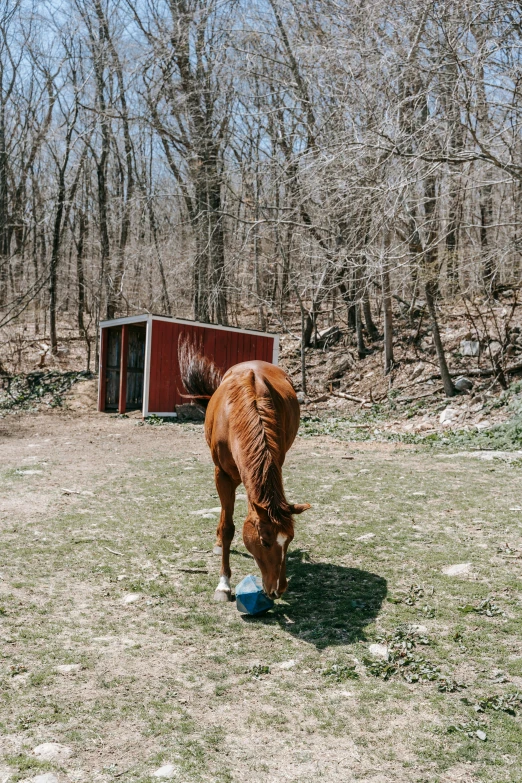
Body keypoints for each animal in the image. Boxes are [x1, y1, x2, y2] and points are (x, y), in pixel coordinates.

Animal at [179, 340, 308, 604]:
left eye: (289, 539)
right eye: (265, 541)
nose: (279, 588)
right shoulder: (222, 475)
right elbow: (228, 527)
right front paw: (223, 584)